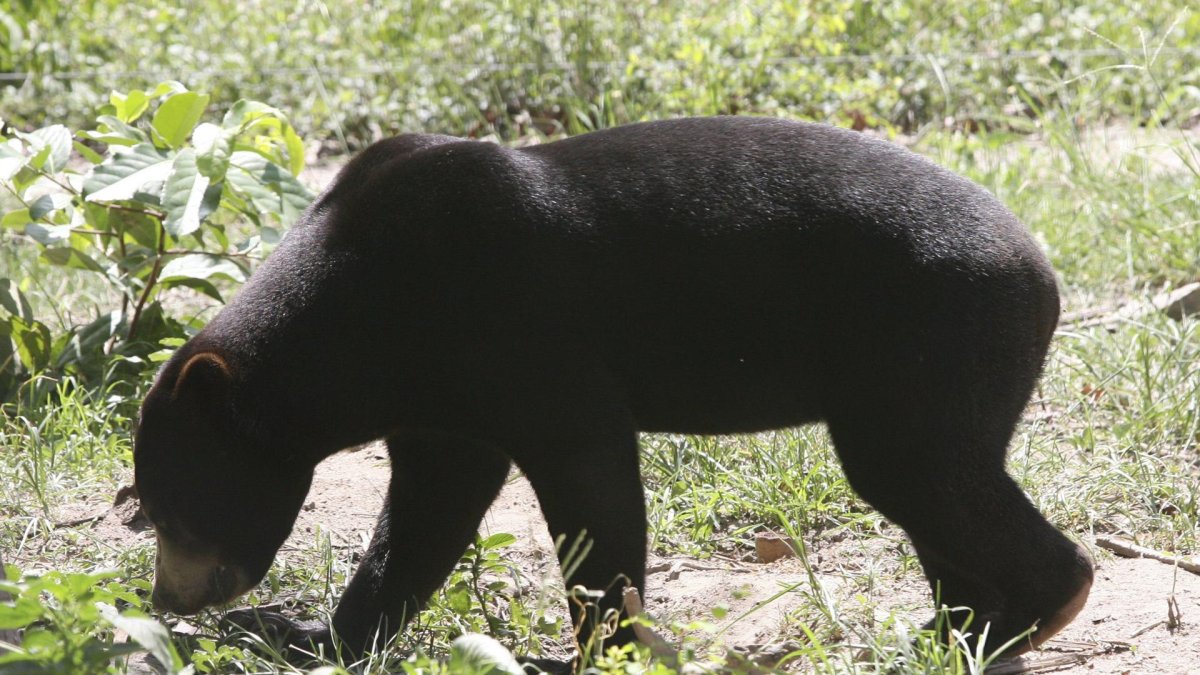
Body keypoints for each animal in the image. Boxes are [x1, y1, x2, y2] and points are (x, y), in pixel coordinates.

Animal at [133, 116, 1093, 664]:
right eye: (147, 510)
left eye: (174, 509)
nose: (168, 598)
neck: (357, 318)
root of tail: (1042, 270)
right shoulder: (440, 406)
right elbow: (424, 519)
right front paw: (303, 634)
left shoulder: (525, 339)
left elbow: (591, 490)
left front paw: (608, 647)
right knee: (939, 502)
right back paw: (956, 631)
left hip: (928, 345)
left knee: (921, 475)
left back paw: (1032, 612)